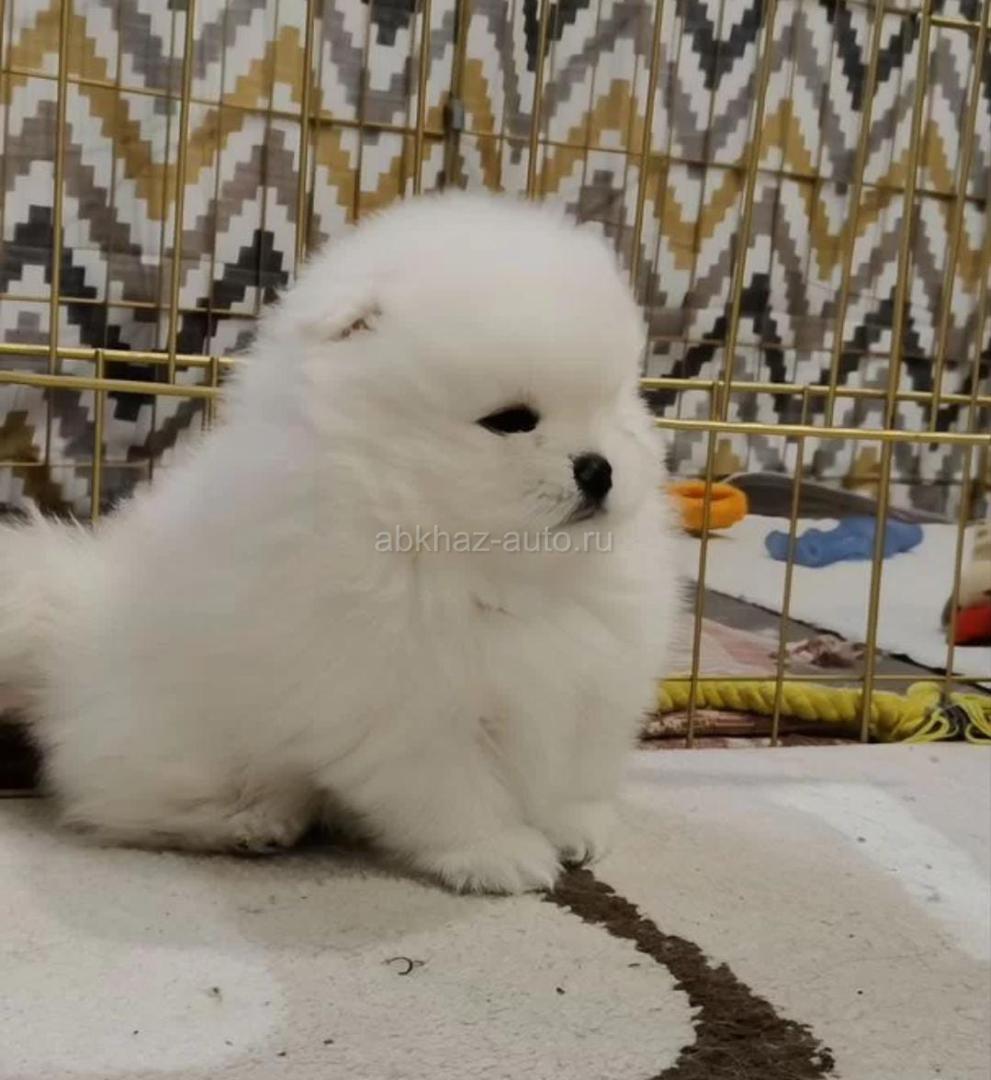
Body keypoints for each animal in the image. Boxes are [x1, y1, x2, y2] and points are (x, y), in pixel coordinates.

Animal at [0, 193, 678, 893]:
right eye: (511, 421)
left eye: (616, 406)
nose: (599, 469)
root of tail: (69, 622)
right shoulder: (405, 705)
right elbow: (455, 792)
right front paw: (497, 853)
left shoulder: (594, 679)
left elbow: (575, 768)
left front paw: (577, 827)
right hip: (181, 745)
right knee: (124, 800)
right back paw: (253, 821)